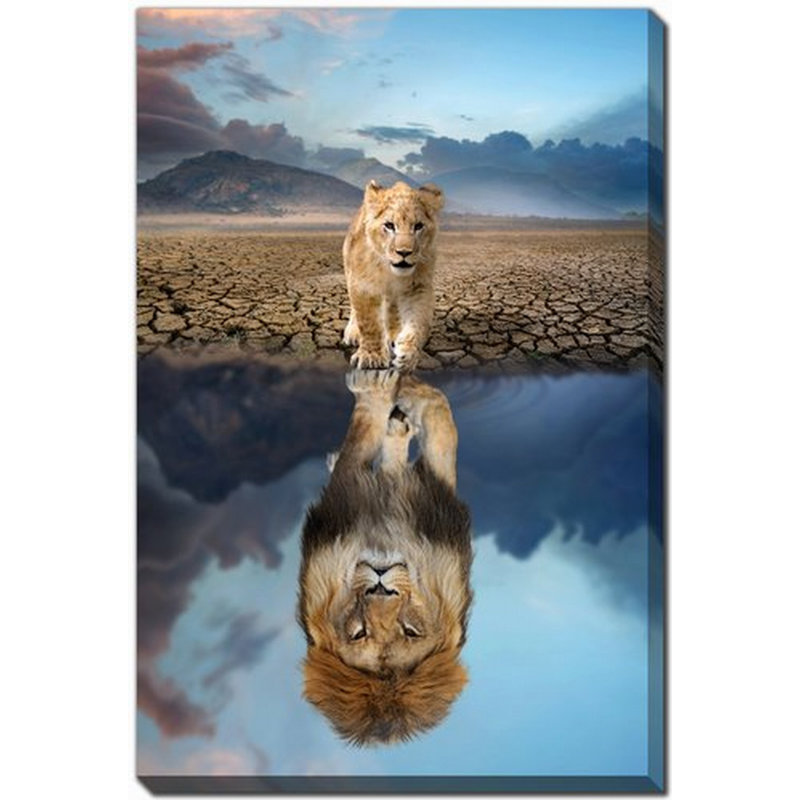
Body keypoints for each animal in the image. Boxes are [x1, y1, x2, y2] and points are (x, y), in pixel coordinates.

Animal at [298, 368, 472, 745]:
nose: (381, 587)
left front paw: (388, 391)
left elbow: (437, 423)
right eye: (359, 632)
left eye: (410, 630)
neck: (384, 537)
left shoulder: (434, 504)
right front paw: (387, 391)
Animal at [342, 180, 444, 371]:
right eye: (389, 225)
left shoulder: (418, 287)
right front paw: (371, 356)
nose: (404, 252)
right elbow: (369, 322)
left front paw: (408, 354)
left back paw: (393, 335)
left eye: (418, 226)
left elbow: (418, 322)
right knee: (354, 309)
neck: (391, 273)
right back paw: (353, 333)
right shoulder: (364, 285)